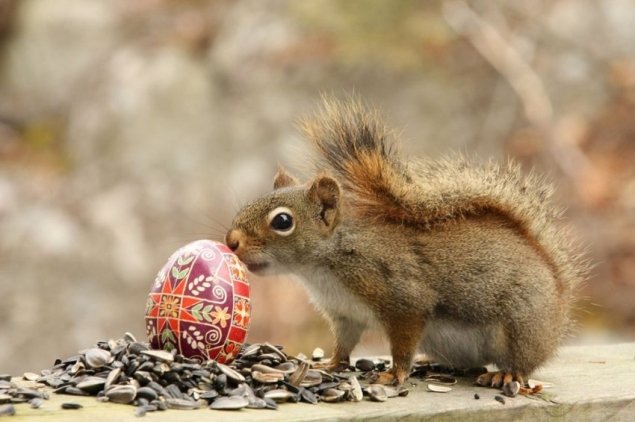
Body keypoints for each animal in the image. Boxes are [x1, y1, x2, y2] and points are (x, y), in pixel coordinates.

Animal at [224, 95, 588, 390]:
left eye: (282, 222)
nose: (231, 241)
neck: (327, 265)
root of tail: (559, 305)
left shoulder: (404, 301)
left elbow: (403, 341)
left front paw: (394, 374)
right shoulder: (345, 315)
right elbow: (344, 345)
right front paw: (329, 364)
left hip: (521, 327)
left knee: (523, 362)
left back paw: (507, 374)